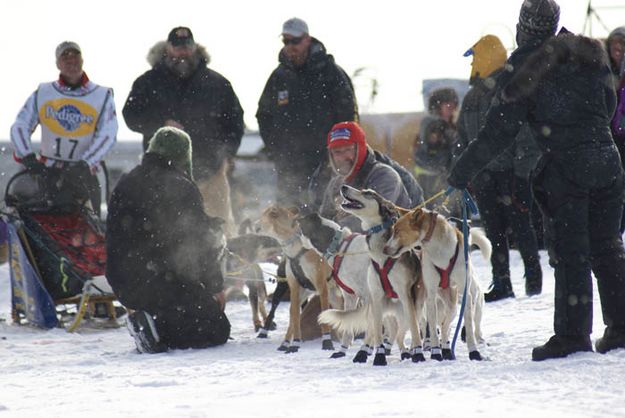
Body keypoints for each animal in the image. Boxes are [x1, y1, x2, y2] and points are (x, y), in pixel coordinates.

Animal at [382, 206, 490, 360]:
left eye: (397, 231)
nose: (384, 249)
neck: (440, 251)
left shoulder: (465, 294)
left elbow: (467, 326)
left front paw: (474, 352)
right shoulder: (431, 295)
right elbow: (432, 329)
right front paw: (435, 353)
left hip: (452, 305)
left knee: (445, 326)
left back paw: (446, 349)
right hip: (419, 306)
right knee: (417, 327)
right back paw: (417, 350)